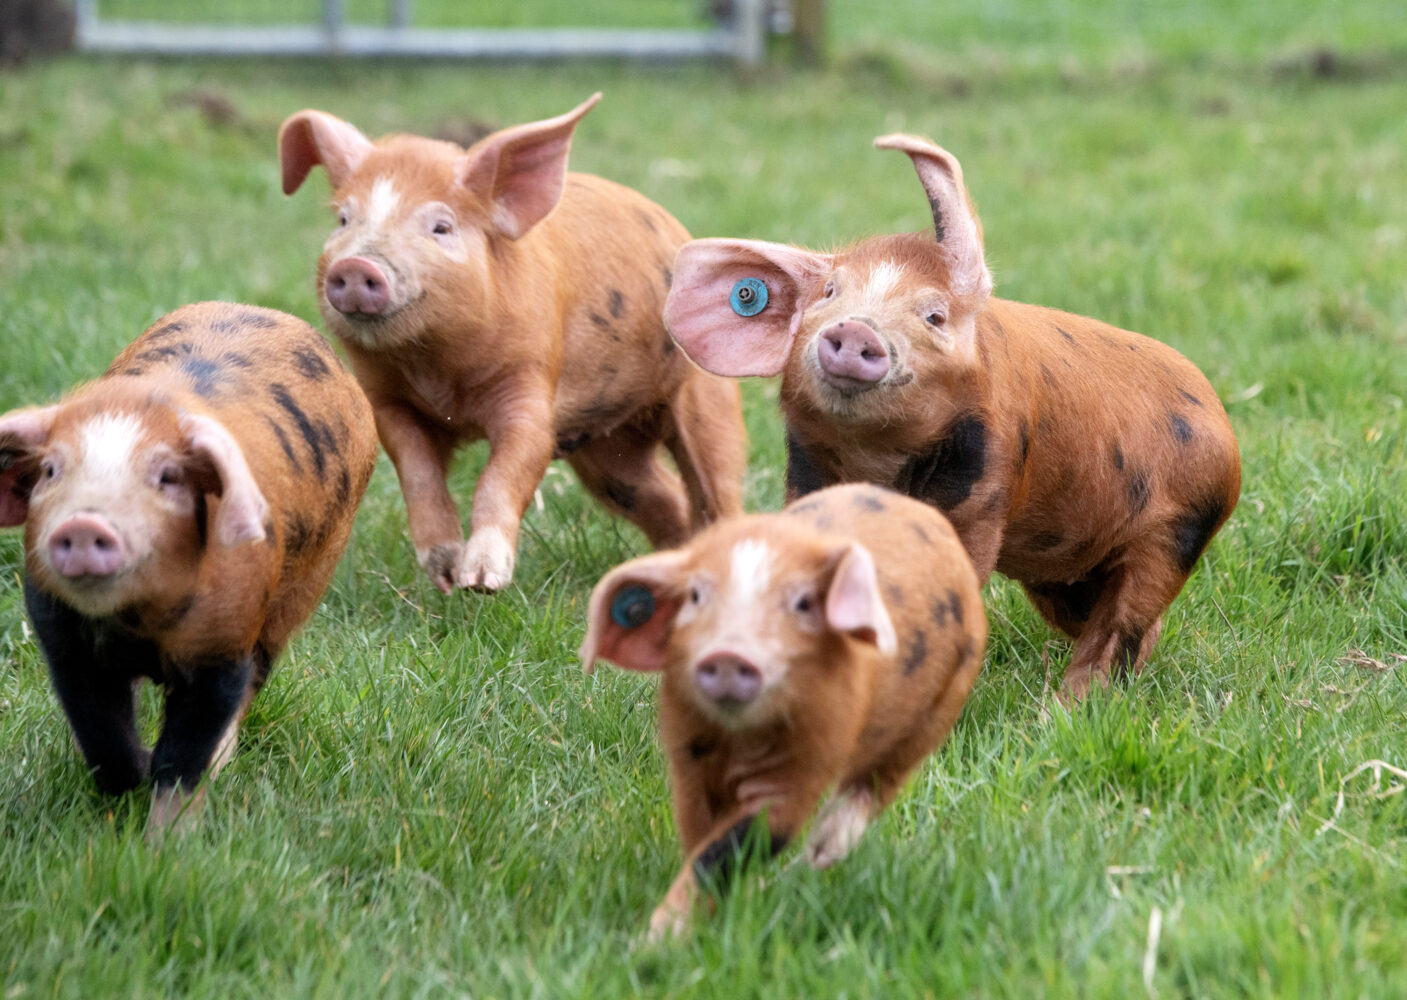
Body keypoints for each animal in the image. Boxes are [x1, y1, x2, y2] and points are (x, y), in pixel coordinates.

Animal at [0, 302, 378, 834]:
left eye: (167, 477)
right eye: (51, 470)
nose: (84, 522)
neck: (140, 623)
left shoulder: (224, 644)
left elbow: (185, 752)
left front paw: (170, 837)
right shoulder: (62, 638)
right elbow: (102, 733)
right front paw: (127, 785)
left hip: (300, 594)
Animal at [277, 93, 747, 595]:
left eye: (441, 227)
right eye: (344, 219)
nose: (355, 266)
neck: (442, 379)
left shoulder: (531, 388)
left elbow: (506, 472)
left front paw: (483, 582)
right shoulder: (389, 404)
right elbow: (419, 474)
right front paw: (446, 574)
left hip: (707, 396)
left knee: (718, 487)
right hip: (608, 452)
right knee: (662, 499)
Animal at [579, 482, 987, 938]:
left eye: (803, 603)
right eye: (696, 596)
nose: (728, 653)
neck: (739, 739)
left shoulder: (807, 761)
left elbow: (737, 845)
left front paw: (656, 938)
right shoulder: (687, 758)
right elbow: (700, 839)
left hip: (939, 709)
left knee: (875, 786)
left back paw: (819, 856)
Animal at [663, 134, 1241, 702]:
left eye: (935, 315)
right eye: (829, 293)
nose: (855, 329)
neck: (878, 460)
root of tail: (1224, 426)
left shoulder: (983, 494)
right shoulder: (806, 474)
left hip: (1178, 529)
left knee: (1125, 621)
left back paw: (1069, 707)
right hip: (1066, 574)